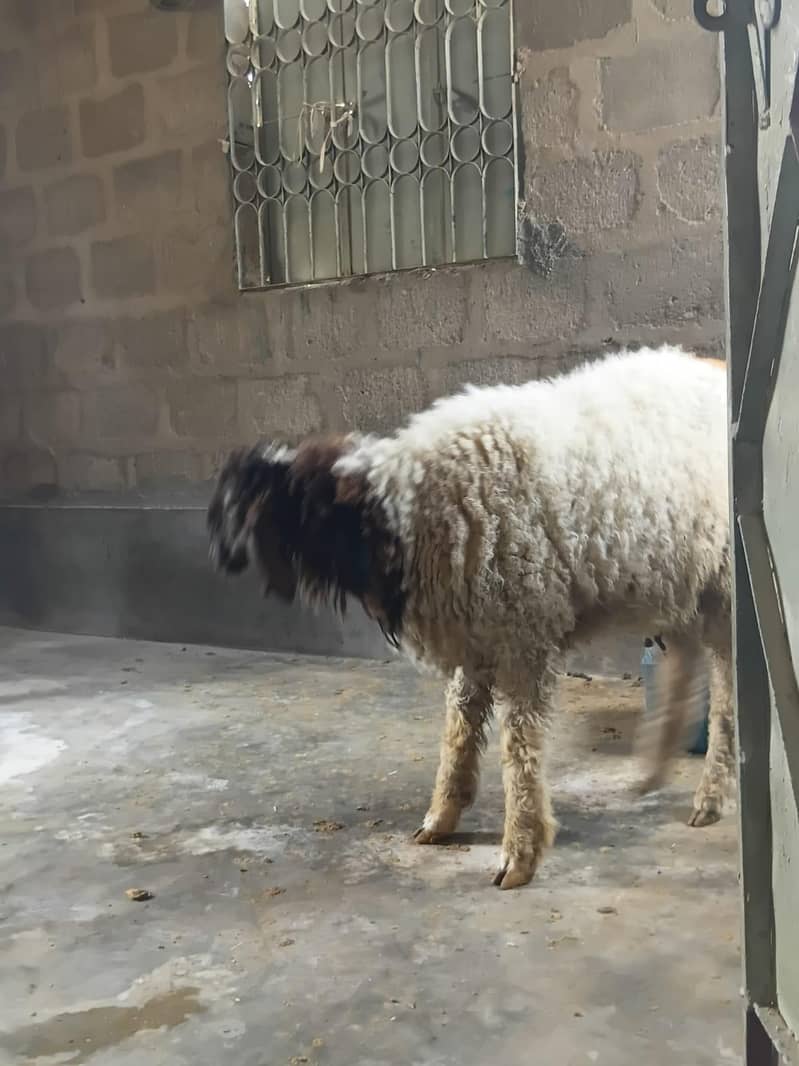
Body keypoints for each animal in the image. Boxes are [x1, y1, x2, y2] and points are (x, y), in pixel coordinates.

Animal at [207, 346, 733, 890]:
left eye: (263, 504)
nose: (221, 557)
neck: (402, 517)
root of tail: (713, 365)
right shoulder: (477, 633)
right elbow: (459, 726)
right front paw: (440, 818)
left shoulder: (524, 635)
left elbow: (519, 745)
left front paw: (519, 852)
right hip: (678, 581)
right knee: (684, 666)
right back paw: (654, 771)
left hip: (723, 586)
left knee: (727, 690)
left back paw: (710, 796)